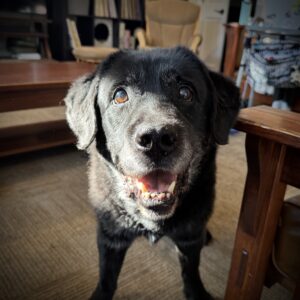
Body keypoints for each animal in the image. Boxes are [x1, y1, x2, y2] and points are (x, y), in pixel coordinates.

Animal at [64, 47, 240, 300]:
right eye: (120, 95)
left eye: (185, 92)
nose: (156, 139)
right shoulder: (110, 237)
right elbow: (106, 278)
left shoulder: (189, 238)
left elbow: (191, 273)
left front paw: (197, 293)